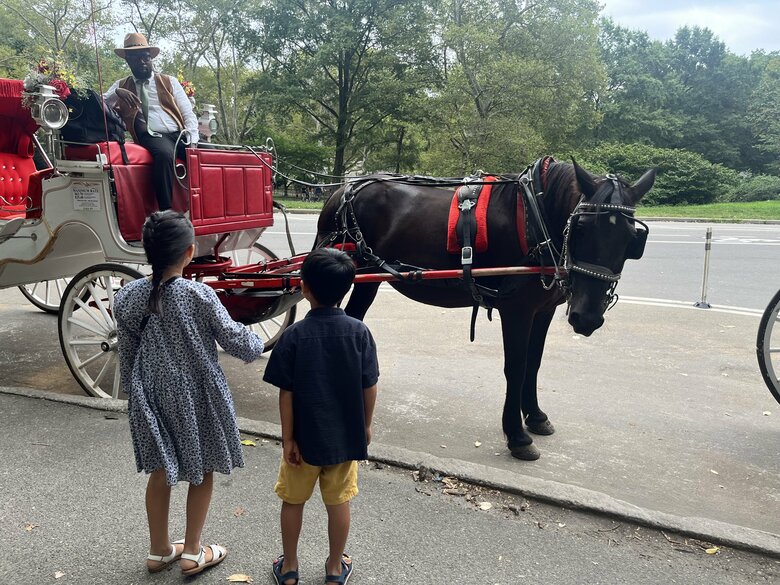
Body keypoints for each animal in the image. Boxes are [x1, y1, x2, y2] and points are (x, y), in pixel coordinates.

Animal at [315, 158, 655, 460]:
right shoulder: (517, 311)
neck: (535, 217)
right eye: (582, 228)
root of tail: (344, 188)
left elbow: (534, 364)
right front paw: (517, 436)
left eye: (632, 239)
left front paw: (535, 416)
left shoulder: (543, 311)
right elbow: (516, 367)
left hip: (368, 279)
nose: (586, 317)